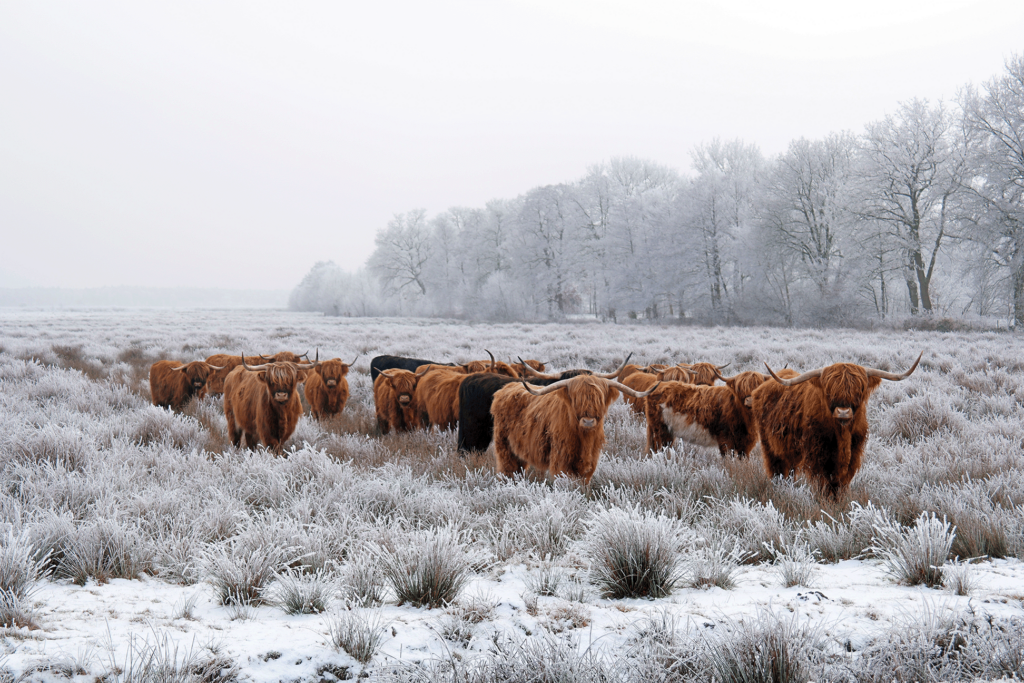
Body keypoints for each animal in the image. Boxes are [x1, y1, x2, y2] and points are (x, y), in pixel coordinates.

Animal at [491, 376, 659, 483]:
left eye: (599, 399)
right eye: (576, 399)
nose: (588, 421)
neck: (583, 438)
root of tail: (505, 389)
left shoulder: (590, 460)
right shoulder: (561, 460)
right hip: (504, 446)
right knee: (508, 468)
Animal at [643, 370, 786, 456]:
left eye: (758, 386)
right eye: (740, 388)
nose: (749, 400)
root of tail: (657, 386)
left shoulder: (745, 444)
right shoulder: (726, 442)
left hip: (667, 432)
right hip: (660, 430)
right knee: (658, 448)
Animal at [753, 352, 921, 497]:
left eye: (859, 390)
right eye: (829, 391)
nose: (843, 412)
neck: (842, 434)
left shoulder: (854, 454)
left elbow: (841, 482)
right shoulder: (817, 456)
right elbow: (823, 482)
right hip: (770, 446)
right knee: (776, 469)